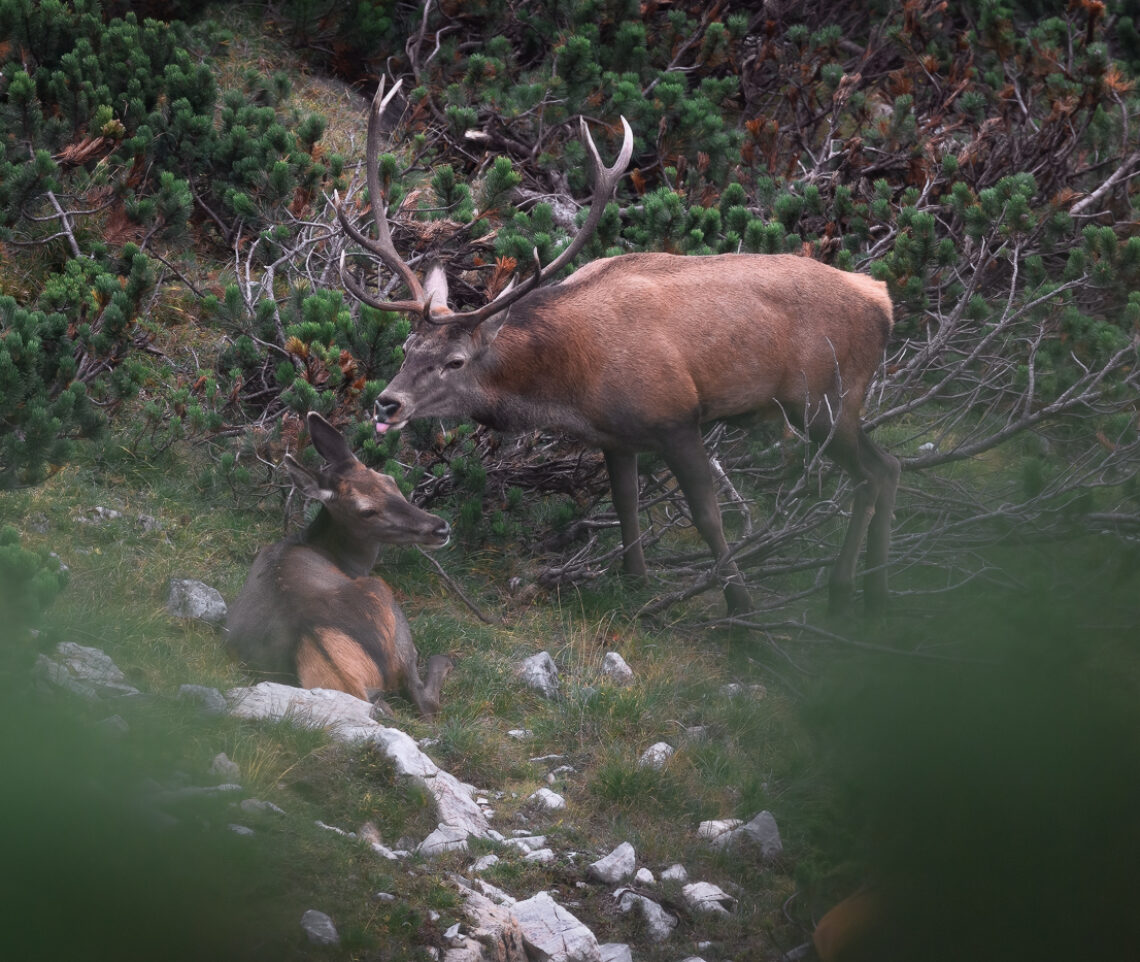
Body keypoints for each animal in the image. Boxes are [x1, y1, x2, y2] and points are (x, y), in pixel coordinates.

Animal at [224, 410, 451, 715]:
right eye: (366, 511)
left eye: (390, 480)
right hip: (385, 602)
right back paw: (444, 660)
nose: (439, 528)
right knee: (422, 700)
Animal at [337, 80, 898, 610]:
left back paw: (846, 590)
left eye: (455, 361)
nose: (386, 403)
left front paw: (741, 611)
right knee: (886, 465)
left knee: (872, 473)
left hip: (823, 397)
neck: (573, 383)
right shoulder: (616, 437)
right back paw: (875, 589)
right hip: (839, 405)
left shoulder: (677, 417)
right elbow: (625, 504)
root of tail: (883, 300)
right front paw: (635, 581)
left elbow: (708, 516)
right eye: (407, 348)